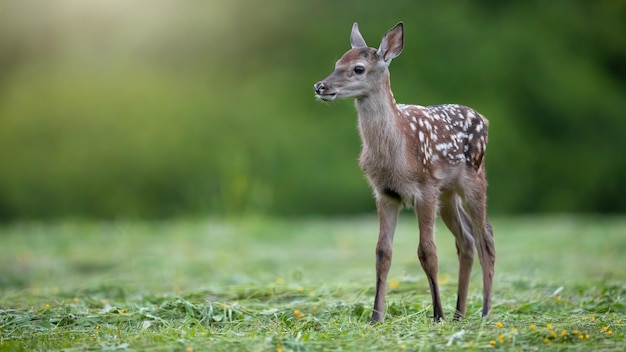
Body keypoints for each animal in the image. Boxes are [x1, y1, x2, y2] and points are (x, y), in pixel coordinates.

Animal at [314, 22, 494, 324]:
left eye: (358, 68)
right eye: (337, 63)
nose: (320, 86)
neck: (397, 153)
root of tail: (484, 118)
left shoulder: (425, 189)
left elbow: (428, 252)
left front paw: (437, 315)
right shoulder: (385, 193)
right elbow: (382, 253)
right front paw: (376, 316)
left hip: (474, 179)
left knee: (486, 239)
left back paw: (484, 311)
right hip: (448, 194)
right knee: (467, 241)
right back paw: (460, 313)